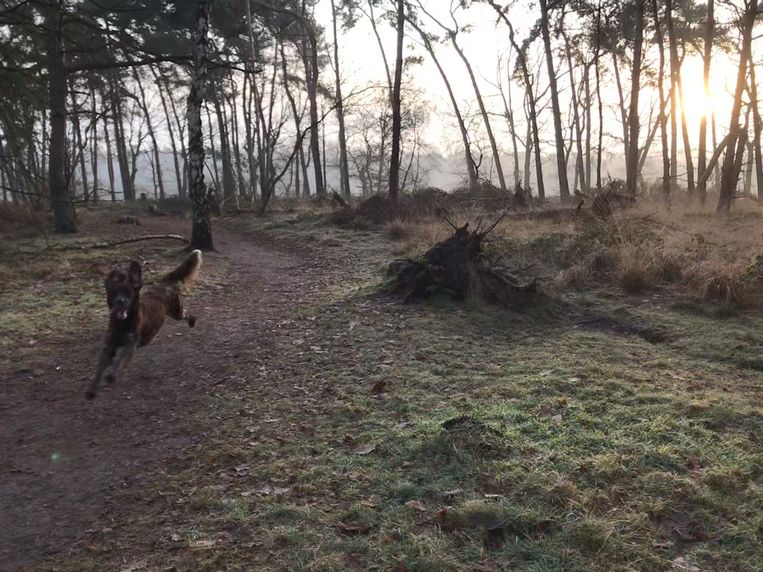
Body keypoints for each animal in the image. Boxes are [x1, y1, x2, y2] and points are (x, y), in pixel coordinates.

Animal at [86, 248, 203, 400]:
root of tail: (163, 282)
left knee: (187, 314)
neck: (122, 324)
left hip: (176, 311)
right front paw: (92, 390)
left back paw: (192, 321)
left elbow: (120, 358)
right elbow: (100, 369)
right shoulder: (108, 346)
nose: (120, 301)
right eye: (114, 292)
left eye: (128, 293)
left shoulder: (131, 344)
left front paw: (112, 374)